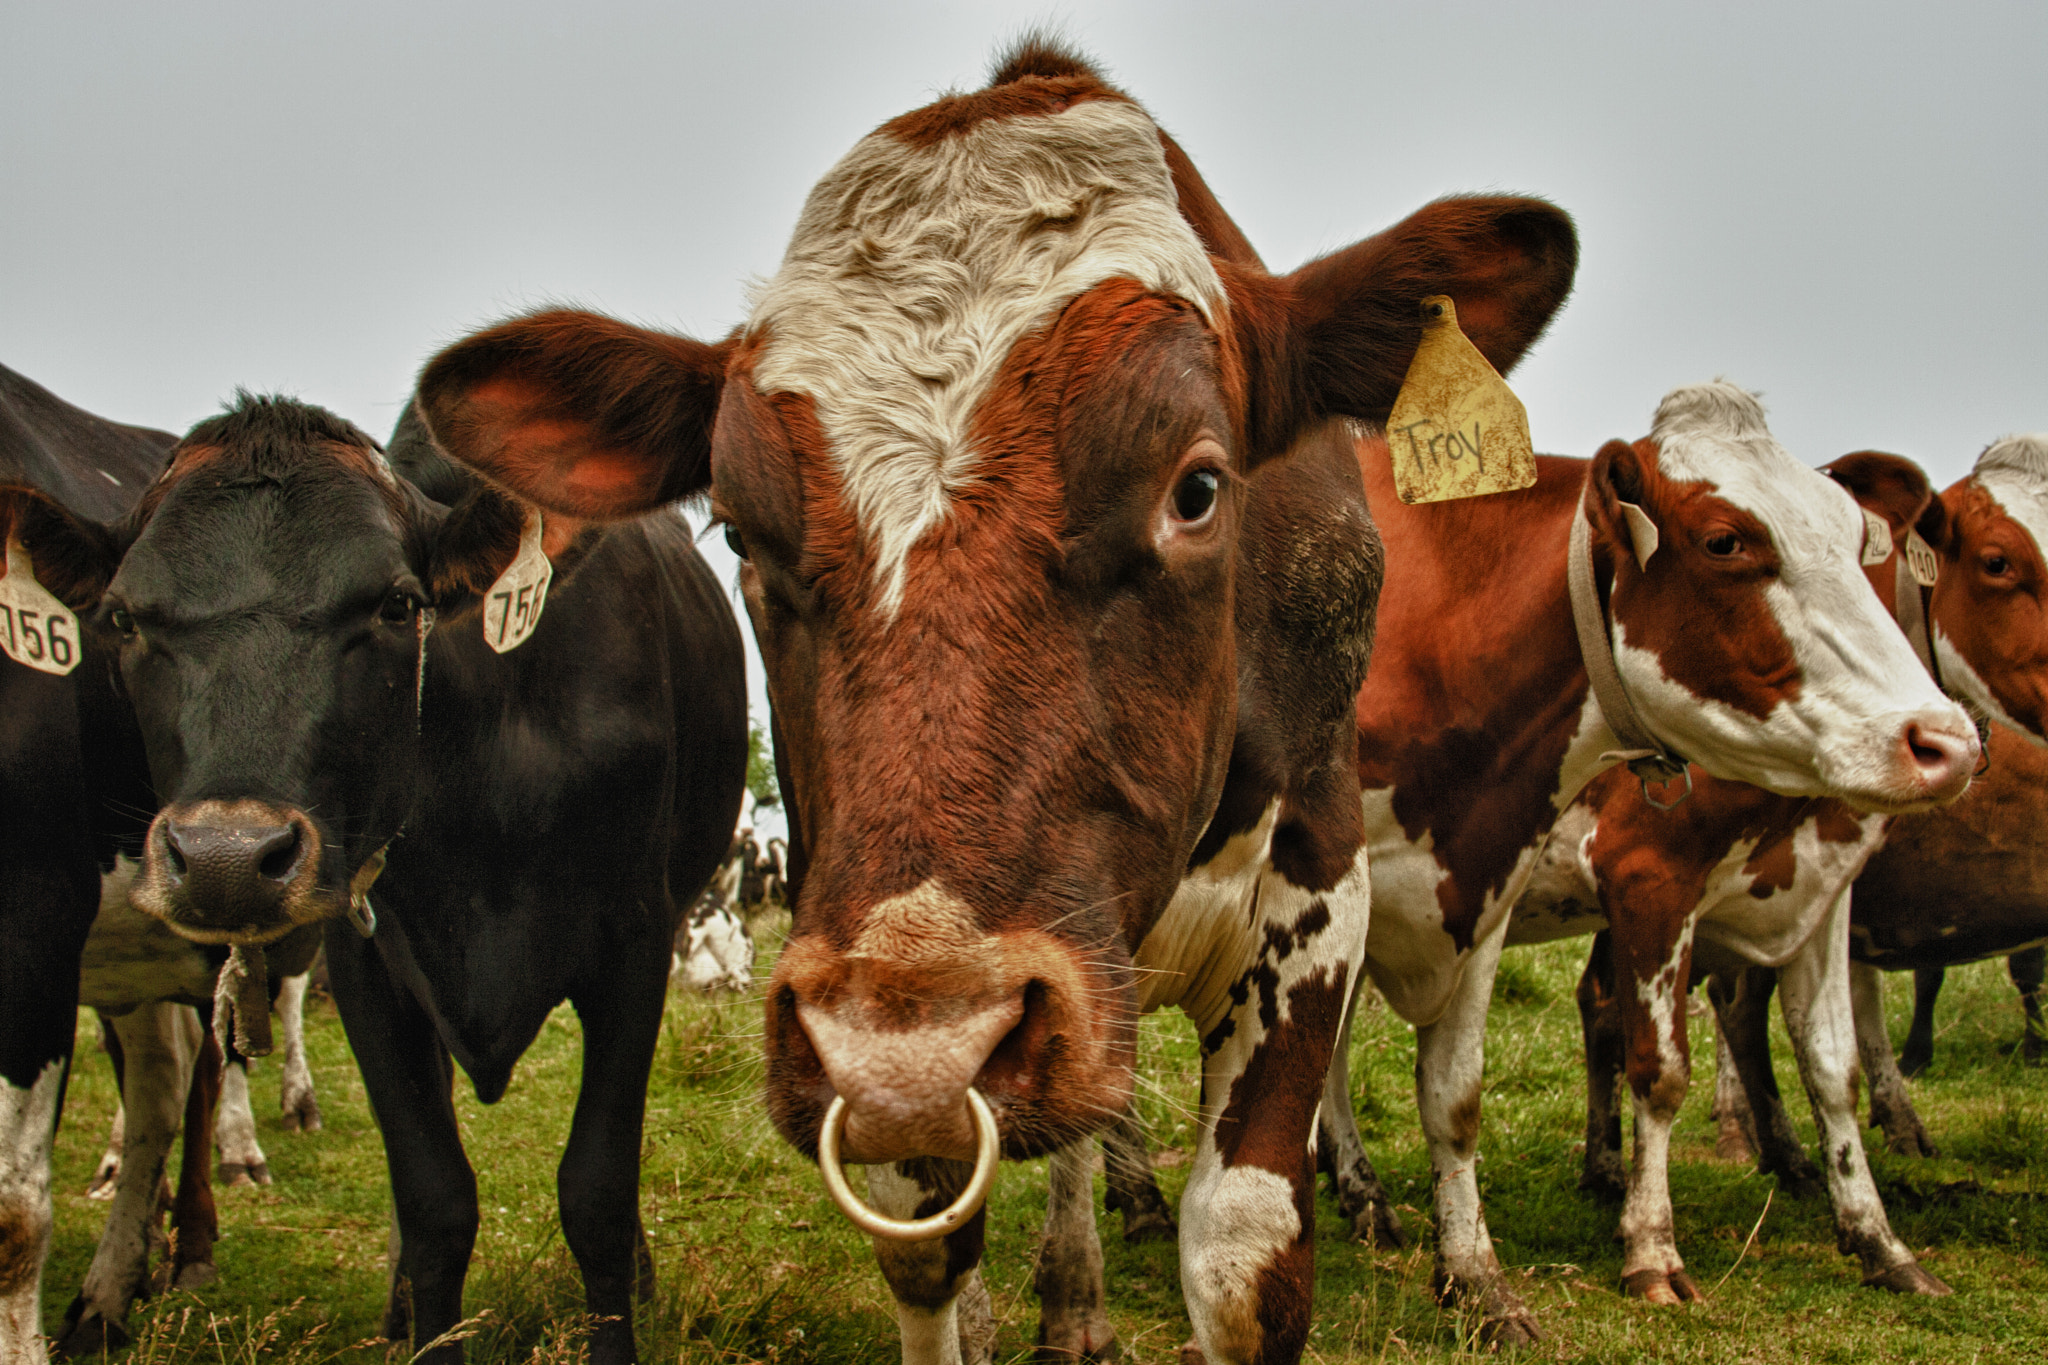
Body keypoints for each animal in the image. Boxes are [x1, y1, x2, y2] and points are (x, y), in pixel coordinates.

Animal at [1, 394, 748, 1365]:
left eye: (398, 605)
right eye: (123, 620)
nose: (226, 855)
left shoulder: (633, 944)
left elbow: (598, 1191)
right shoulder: (368, 963)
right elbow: (434, 1198)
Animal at [408, 35, 1581, 1365]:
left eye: (1195, 489)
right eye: (741, 534)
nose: (918, 1056)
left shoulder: (1319, 866)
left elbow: (1241, 1253)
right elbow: (927, 1251)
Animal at [1492, 436, 2048, 1311]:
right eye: (1999, 561)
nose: (1946, 742)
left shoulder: (1818, 890)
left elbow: (1832, 1065)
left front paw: (1880, 1241)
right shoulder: (1649, 879)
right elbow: (1661, 1066)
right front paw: (1651, 1246)